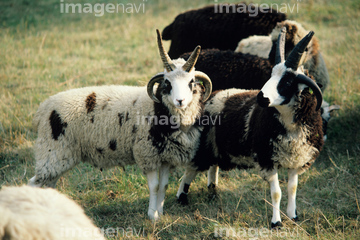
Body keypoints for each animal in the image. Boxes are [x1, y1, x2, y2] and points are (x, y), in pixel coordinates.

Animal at [28, 29, 214, 220]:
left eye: (191, 82)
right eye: (167, 83)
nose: (180, 101)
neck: (157, 108)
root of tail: (43, 108)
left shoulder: (165, 157)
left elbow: (163, 186)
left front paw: (160, 214)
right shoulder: (147, 154)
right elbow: (154, 186)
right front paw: (152, 216)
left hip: (58, 155)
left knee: (49, 183)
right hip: (53, 151)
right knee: (35, 183)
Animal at [176, 29, 324, 228]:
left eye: (286, 82)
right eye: (270, 75)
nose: (261, 98)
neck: (289, 124)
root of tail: (208, 98)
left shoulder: (297, 158)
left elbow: (292, 189)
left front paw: (293, 216)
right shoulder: (267, 158)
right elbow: (276, 193)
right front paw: (276, 223)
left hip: (215, 146)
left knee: (212, 166)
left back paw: (213, 190)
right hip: (202, 146)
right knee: (190, 170)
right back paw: (181, 197)